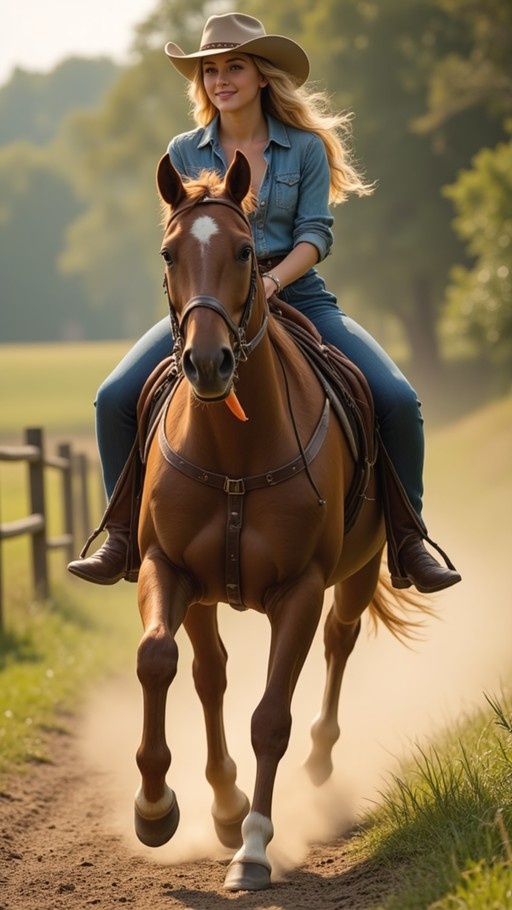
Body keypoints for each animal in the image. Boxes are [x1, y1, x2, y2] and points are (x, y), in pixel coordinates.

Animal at [133, 150, 427, 892]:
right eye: (169, 253)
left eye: (244, 251)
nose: (209, 363)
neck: (236, 450)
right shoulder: (168, 568)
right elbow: (160, 660)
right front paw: (156, 808)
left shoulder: (301, 589)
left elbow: (271, 717)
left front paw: (254, 849)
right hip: (205, 593)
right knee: (208, 674)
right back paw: (222, 803)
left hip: (358, 572)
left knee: (340, 642)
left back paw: (317, 764)